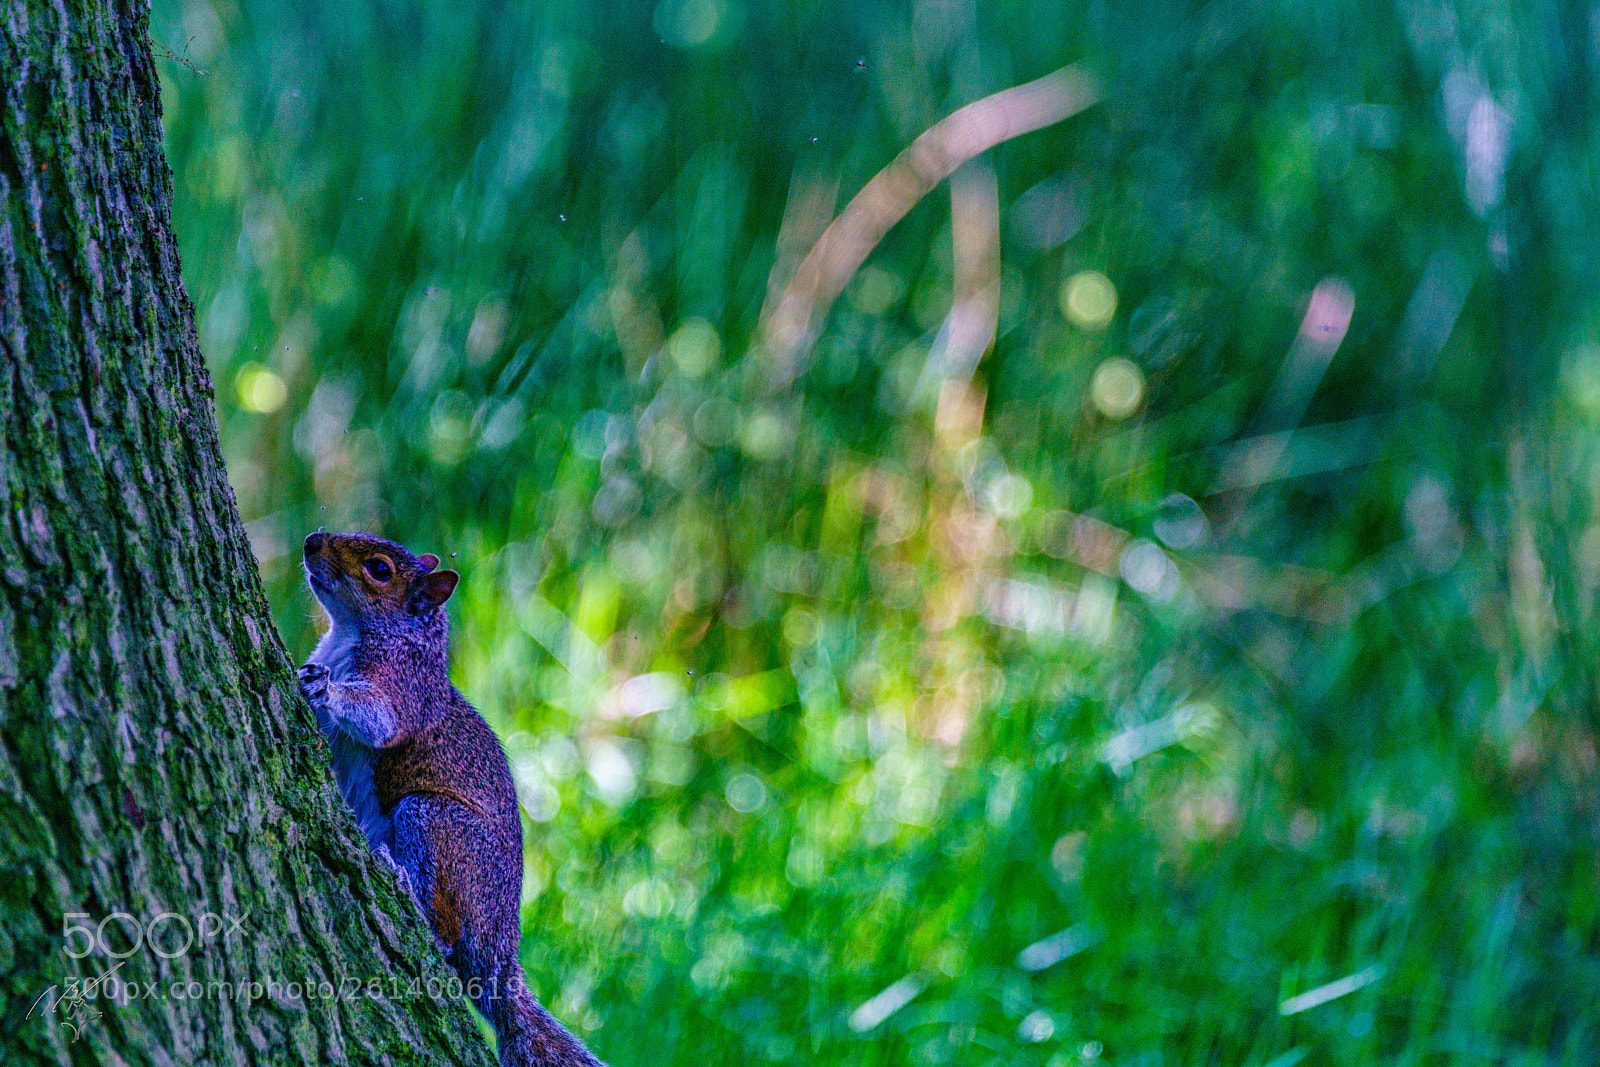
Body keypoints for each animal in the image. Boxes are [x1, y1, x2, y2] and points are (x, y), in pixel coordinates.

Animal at [296, 531, 604, 1067]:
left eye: (380, 569)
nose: (313, 540)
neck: (352, 637)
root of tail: (497, 952)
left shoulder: (403, 690)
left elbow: (378, 720)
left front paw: (326, 687)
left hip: (432, 821)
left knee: (442, 931)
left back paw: (402, 883)